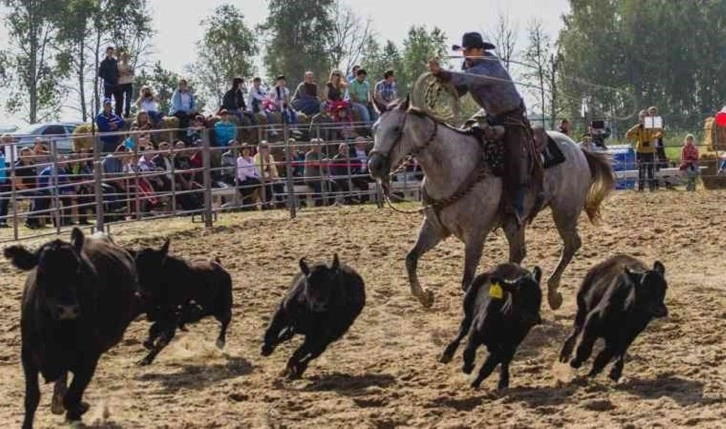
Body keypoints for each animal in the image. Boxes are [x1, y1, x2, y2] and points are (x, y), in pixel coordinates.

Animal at [3, 229, 139, 426]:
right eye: (42, 271)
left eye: (77, 270)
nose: (67, 310)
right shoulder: (28, 354)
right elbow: (32, 397)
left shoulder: (90, 356)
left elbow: (72, 396)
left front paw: (78, 409)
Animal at [370, 96, 616, 310]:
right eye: (374, 128)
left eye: (396, 129)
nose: (374, 165)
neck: (451, 167)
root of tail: (578, 148)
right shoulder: (434, 228)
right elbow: (410, 259)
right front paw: (424, 296)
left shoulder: (475, 235)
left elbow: (467, 281)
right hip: (515, 222)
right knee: (519, 253)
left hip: (564, 212)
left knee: (572, 244)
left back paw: (553, 294)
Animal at [438, 262, 540, 390]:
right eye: (519, 295)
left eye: (539, 296)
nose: (533, 318)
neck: (504, 322)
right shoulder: (476, 331)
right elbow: (468, 351)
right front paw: (468, 368)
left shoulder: (509, 345)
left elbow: (490, 365)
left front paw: (476, 383)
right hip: (468, 312)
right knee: (462, 331)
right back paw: (447, 355)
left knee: (504, 361)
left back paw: (503, 381)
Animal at [560, 252, 668, 380]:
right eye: (644, 288)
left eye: (664, 287)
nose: (661, 310)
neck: (625, 312)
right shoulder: (592, 321)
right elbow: (585, 346)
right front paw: (575, 361)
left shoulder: (626, 336)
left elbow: (604, 356)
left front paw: (599, 373)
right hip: (582, 309)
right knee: (575, 331)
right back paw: (565, 353)